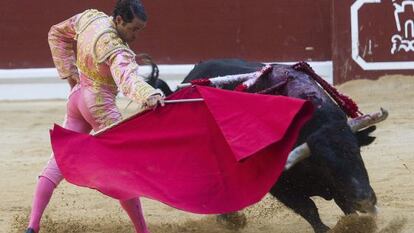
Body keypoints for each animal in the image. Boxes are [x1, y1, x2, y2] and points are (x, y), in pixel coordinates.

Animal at [150, 58, 378, 233]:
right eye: (323, 162)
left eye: (356, 151)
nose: (365, 200)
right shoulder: (281, 186)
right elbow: (309, 209)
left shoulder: (342, 186)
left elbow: (345, 205)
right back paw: (230, 219)